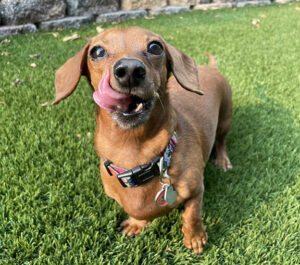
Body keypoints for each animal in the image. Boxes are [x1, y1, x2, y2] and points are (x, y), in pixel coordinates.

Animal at [53, 26, 232, 254]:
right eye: (97, 51)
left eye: (155, 47)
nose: (129, 70)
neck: (134, 152)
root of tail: (210, 69)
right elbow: (138, 213)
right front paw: (136, 224)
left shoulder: (196, 190)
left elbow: (191, 215)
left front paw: (195, 238)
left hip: (225, 119)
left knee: (222, 141)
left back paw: (222, 160)